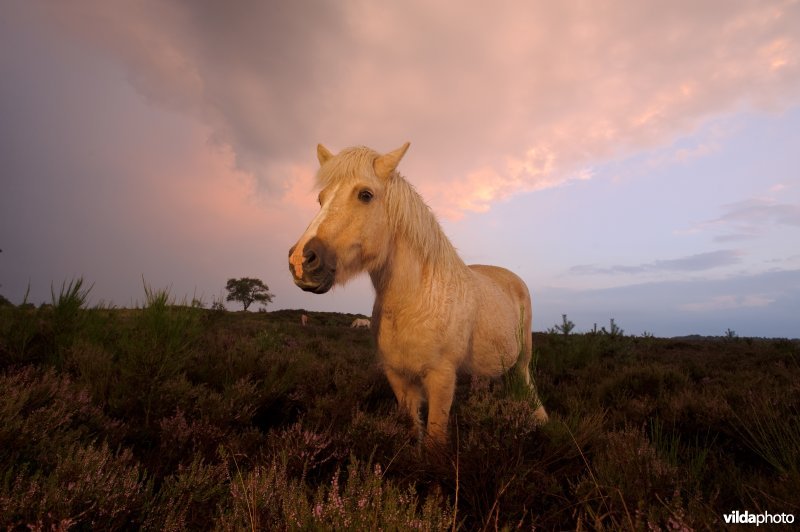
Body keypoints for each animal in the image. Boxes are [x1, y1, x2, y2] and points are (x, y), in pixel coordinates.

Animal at [290, 142, 548, 444]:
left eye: (365, 195)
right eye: (321, 199)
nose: (300, 261)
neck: (414, 303)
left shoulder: (441, 378)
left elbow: (436, 440)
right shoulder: (399, 378)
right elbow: (415, 431)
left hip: (522, 362)